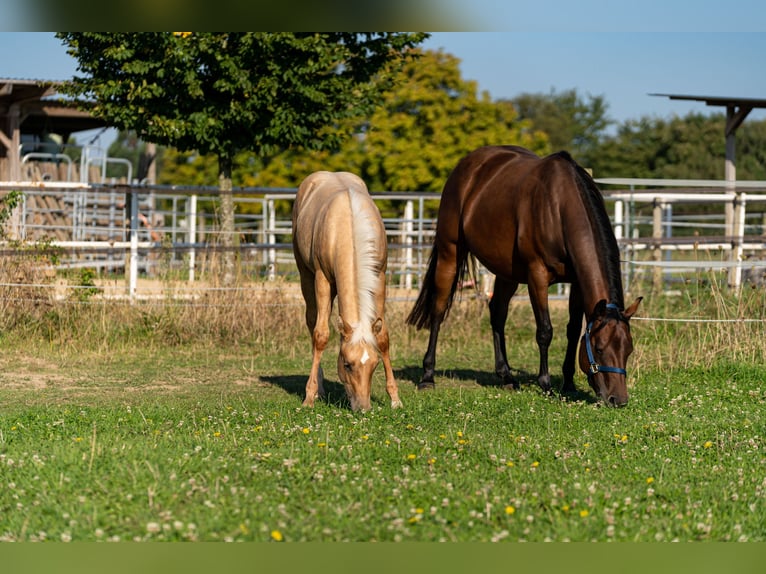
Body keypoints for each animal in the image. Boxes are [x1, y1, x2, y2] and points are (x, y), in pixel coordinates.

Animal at [292, 171, 402, 412]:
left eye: (374, 364)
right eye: (347, 364)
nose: (363, 407)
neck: (349, 226)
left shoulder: (379, 276)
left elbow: (383, 336)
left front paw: (395, 398)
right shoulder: (322, 279)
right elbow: (321, 335)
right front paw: (309, 396)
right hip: (306, 276)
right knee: (312, 322)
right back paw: (318, 388)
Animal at [406, 146, 642, 407]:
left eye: (628, 350)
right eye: (599, 348)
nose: (618, 399)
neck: (558, 208)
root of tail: (466, 165)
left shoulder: (577, 283)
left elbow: (572, 330)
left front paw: (568, 383)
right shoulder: (537, 277)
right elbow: (545, 331)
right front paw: (546, 384)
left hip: (506, 272)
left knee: (497, 312)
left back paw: (506, 376)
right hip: (450, 253)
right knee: (438, 310)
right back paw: (428, 376)